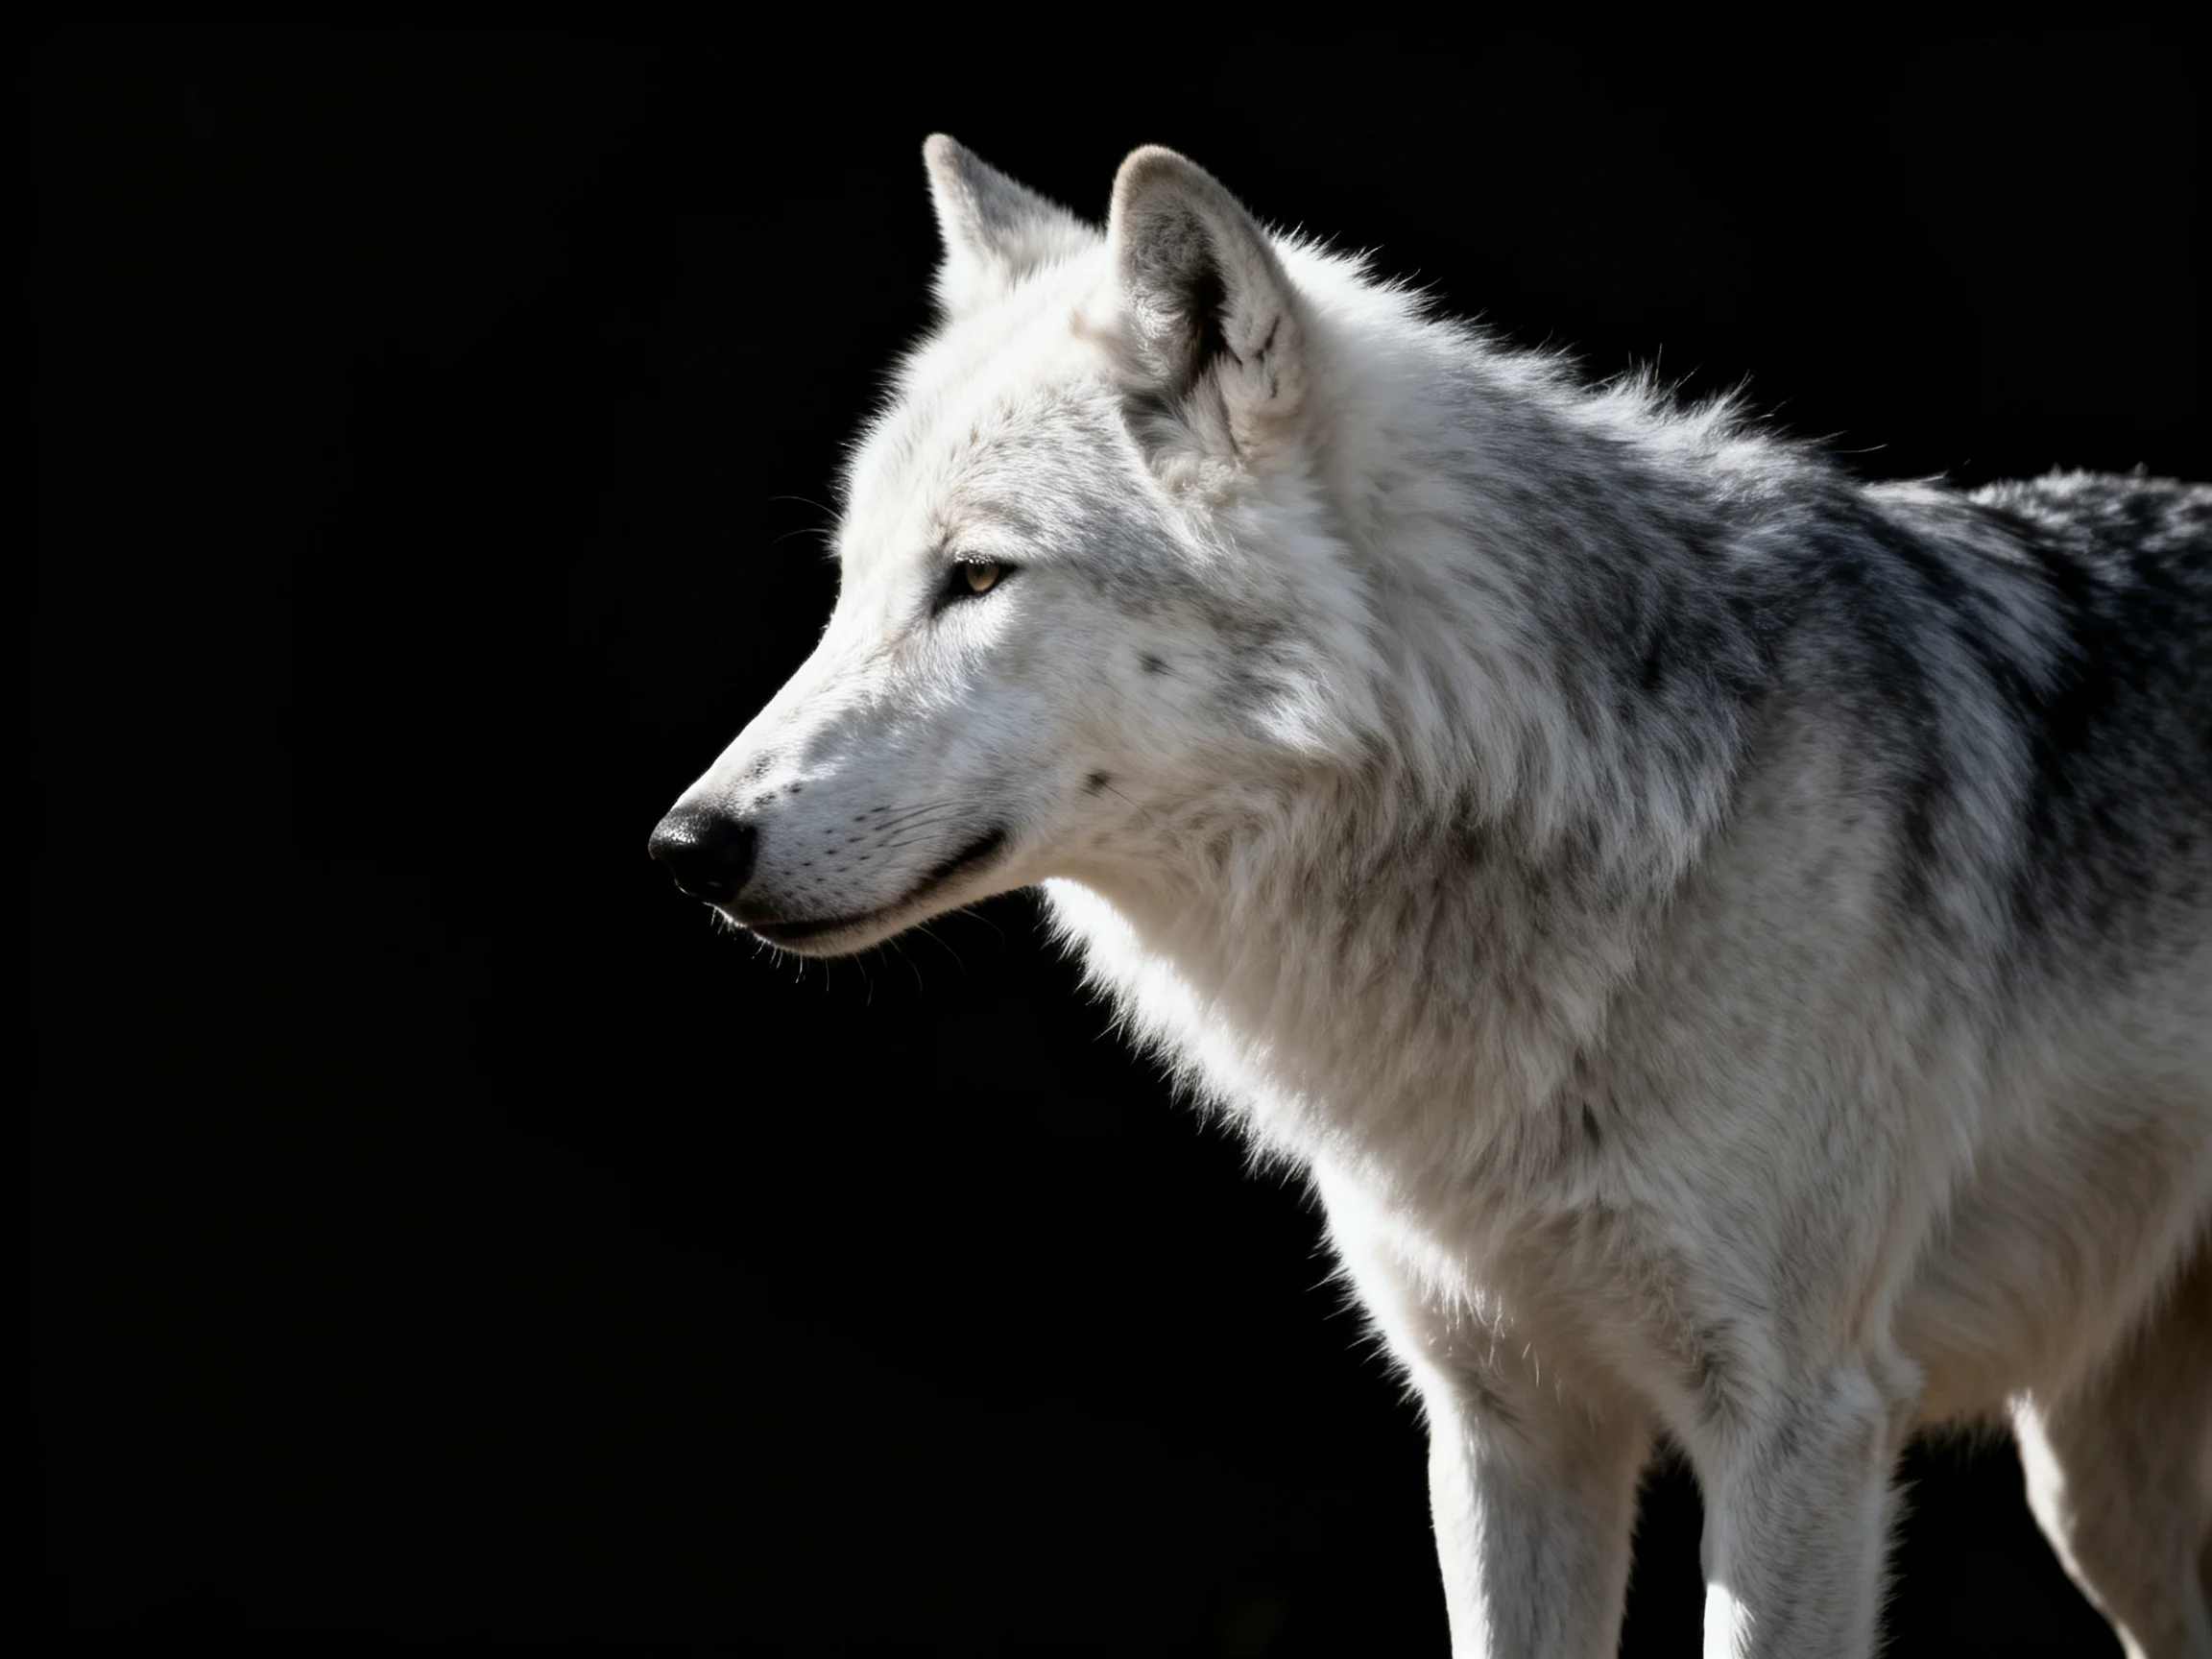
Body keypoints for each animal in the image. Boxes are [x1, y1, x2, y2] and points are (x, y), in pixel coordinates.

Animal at [649, 137, 2212, 1657]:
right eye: (849, 585)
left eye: (977, 576)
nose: (686, 845)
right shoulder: (1500, 1420)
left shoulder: (1798, 1428)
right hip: (2099, 1497)